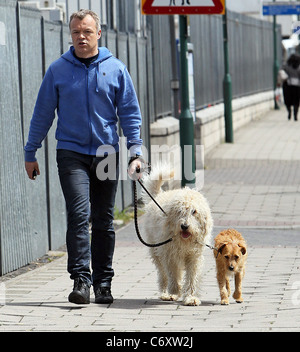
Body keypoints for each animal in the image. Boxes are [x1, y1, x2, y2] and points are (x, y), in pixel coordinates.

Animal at [142, 165, 213, 306]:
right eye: (180, 211)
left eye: (194, 212)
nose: (184, 226)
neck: (184, 241)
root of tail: (159, 195)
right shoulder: (169, 254)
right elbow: (173, 273)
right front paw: (175, 290)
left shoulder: (194, 256)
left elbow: (192, 277)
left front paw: (190, 297)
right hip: (156, 252)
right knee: (163, 274)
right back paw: (166, 293)